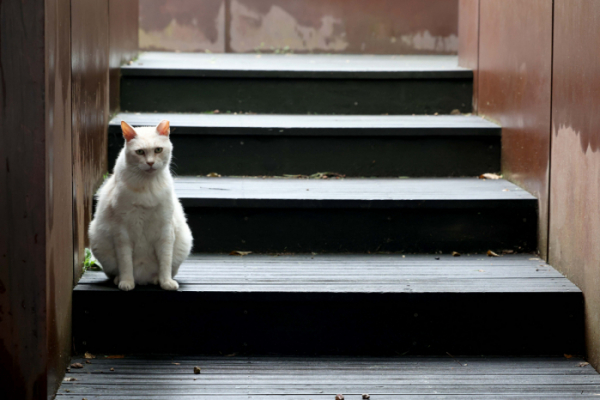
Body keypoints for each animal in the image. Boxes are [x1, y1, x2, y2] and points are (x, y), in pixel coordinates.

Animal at [88, 119, 192, 290]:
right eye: (140, 152)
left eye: (158, 150)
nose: (150, 163)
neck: (146, 187)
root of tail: (143, 279)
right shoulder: (121, 232)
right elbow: (125, 263)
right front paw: (126, 282)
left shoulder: (165, 229)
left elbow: (165, 261)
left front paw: (166, 282)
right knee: (115, 272)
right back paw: (121, 280)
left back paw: (156, 279)